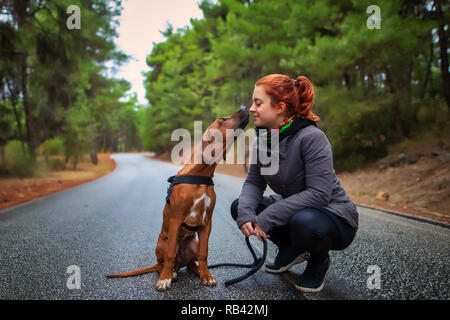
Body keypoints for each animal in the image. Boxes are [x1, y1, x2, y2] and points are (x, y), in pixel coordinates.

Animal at [106, 109, 250, 292]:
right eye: (223, 120)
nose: (245, 108)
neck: (200, 174)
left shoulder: (207, 223)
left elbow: (204, 254)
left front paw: (206, 276)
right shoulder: (176, 219)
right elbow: (170, 255)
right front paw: (164, 280)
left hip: (194, 243)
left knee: (190, 264)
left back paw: (197, 270)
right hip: (164, 243)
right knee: (163, 263)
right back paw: (169, 274)